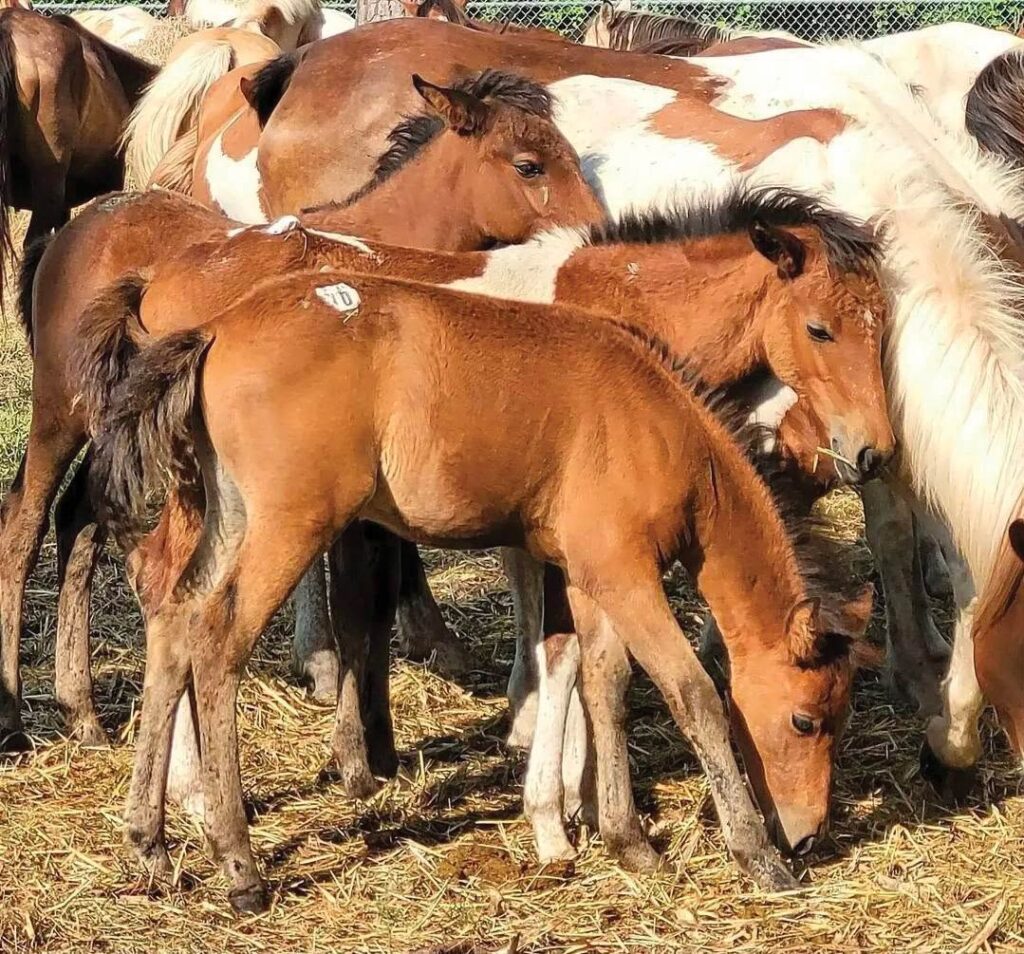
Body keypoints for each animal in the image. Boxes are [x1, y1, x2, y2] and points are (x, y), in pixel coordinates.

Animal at [0, 69, 601, 752]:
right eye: (529, 165)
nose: (595, 231)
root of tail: (74, 234)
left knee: (80, 519)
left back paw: (82, 711)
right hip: (62, 413)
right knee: (25, 525)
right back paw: (16, 714)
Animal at [79, 255, 879, 911]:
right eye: (807, 720)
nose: (808, 835)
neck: (665, 432)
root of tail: (216, 329)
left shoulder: (589, 575)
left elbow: (604, 683)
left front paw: (625, 839)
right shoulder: (625, 574)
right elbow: (694, 695)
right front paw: (757, 857)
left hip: (227, 515)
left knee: (176, 618)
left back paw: (149, 841)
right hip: (291, 525)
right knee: (217, 642)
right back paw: (239, 863)